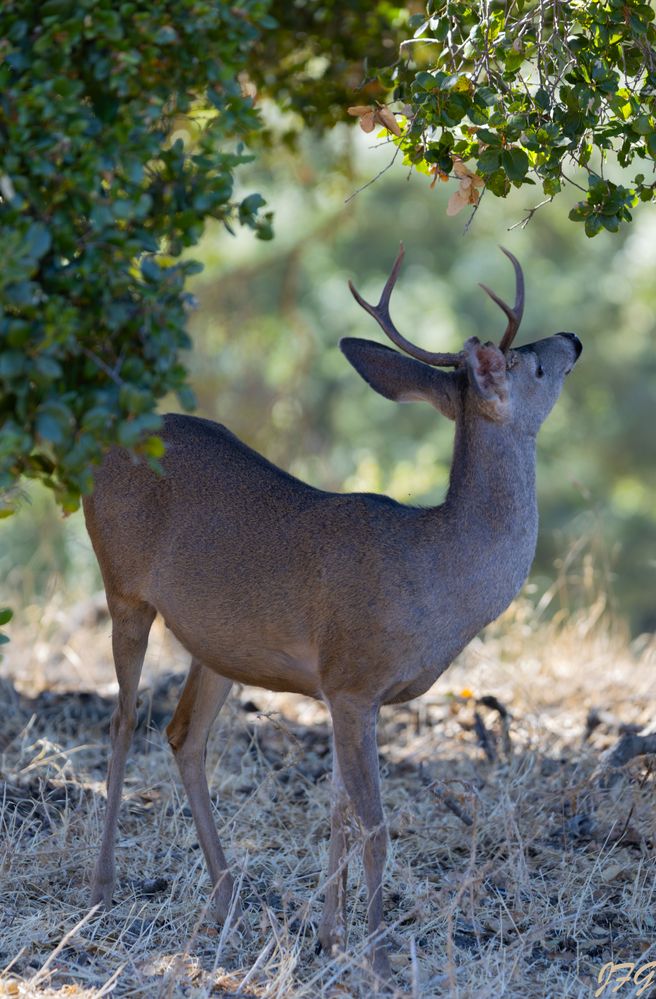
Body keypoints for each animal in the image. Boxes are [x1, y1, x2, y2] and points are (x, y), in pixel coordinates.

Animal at [82, 246, 580, 980]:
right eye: (534, 366)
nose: (572, 338)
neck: (440, 575)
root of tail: (106, 444)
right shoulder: (352, 676)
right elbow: (374, 824)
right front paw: (378, 956)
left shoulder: (346, 691)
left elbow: (339, 806)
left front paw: (332, 937)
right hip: (123, 586)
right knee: (122, 721)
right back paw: (102, 888)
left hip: (217, 641)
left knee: (182, 734)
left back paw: (226, 896)